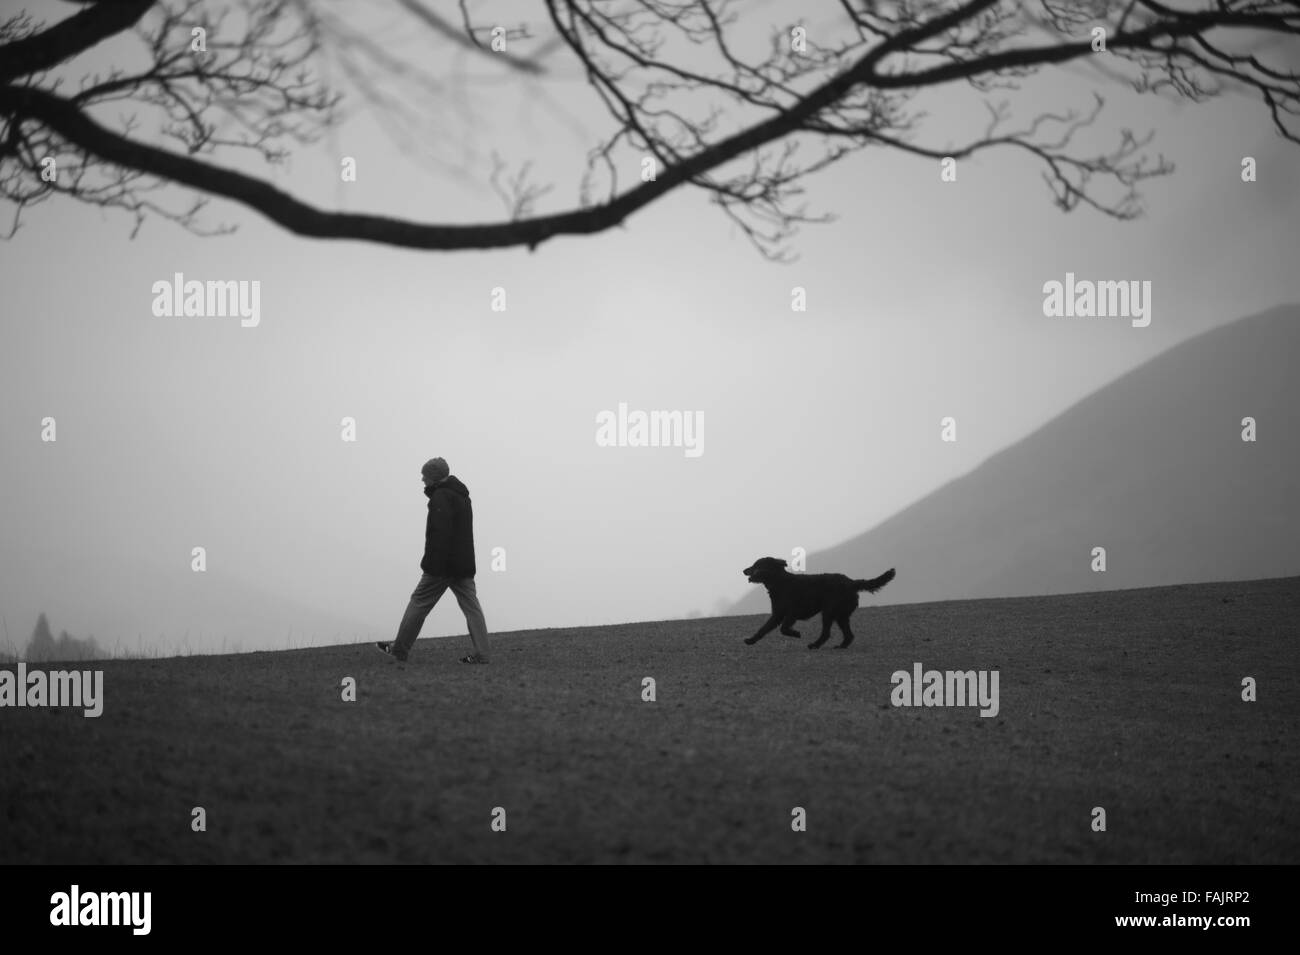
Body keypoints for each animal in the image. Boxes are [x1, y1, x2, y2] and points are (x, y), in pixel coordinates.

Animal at [743, 561, 894, 649]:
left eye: (757, 565)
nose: (744, 570)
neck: (780, 581)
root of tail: (852, 582)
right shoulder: (777, 614)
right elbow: (763, 629)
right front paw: (751, 640)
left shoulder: (792, 612)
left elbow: (784, 628)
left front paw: (796, 634)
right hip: (840, 615)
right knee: (848, 635)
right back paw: (841, 646)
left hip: (829, 612)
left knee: (826, 633)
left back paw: (815, 645)